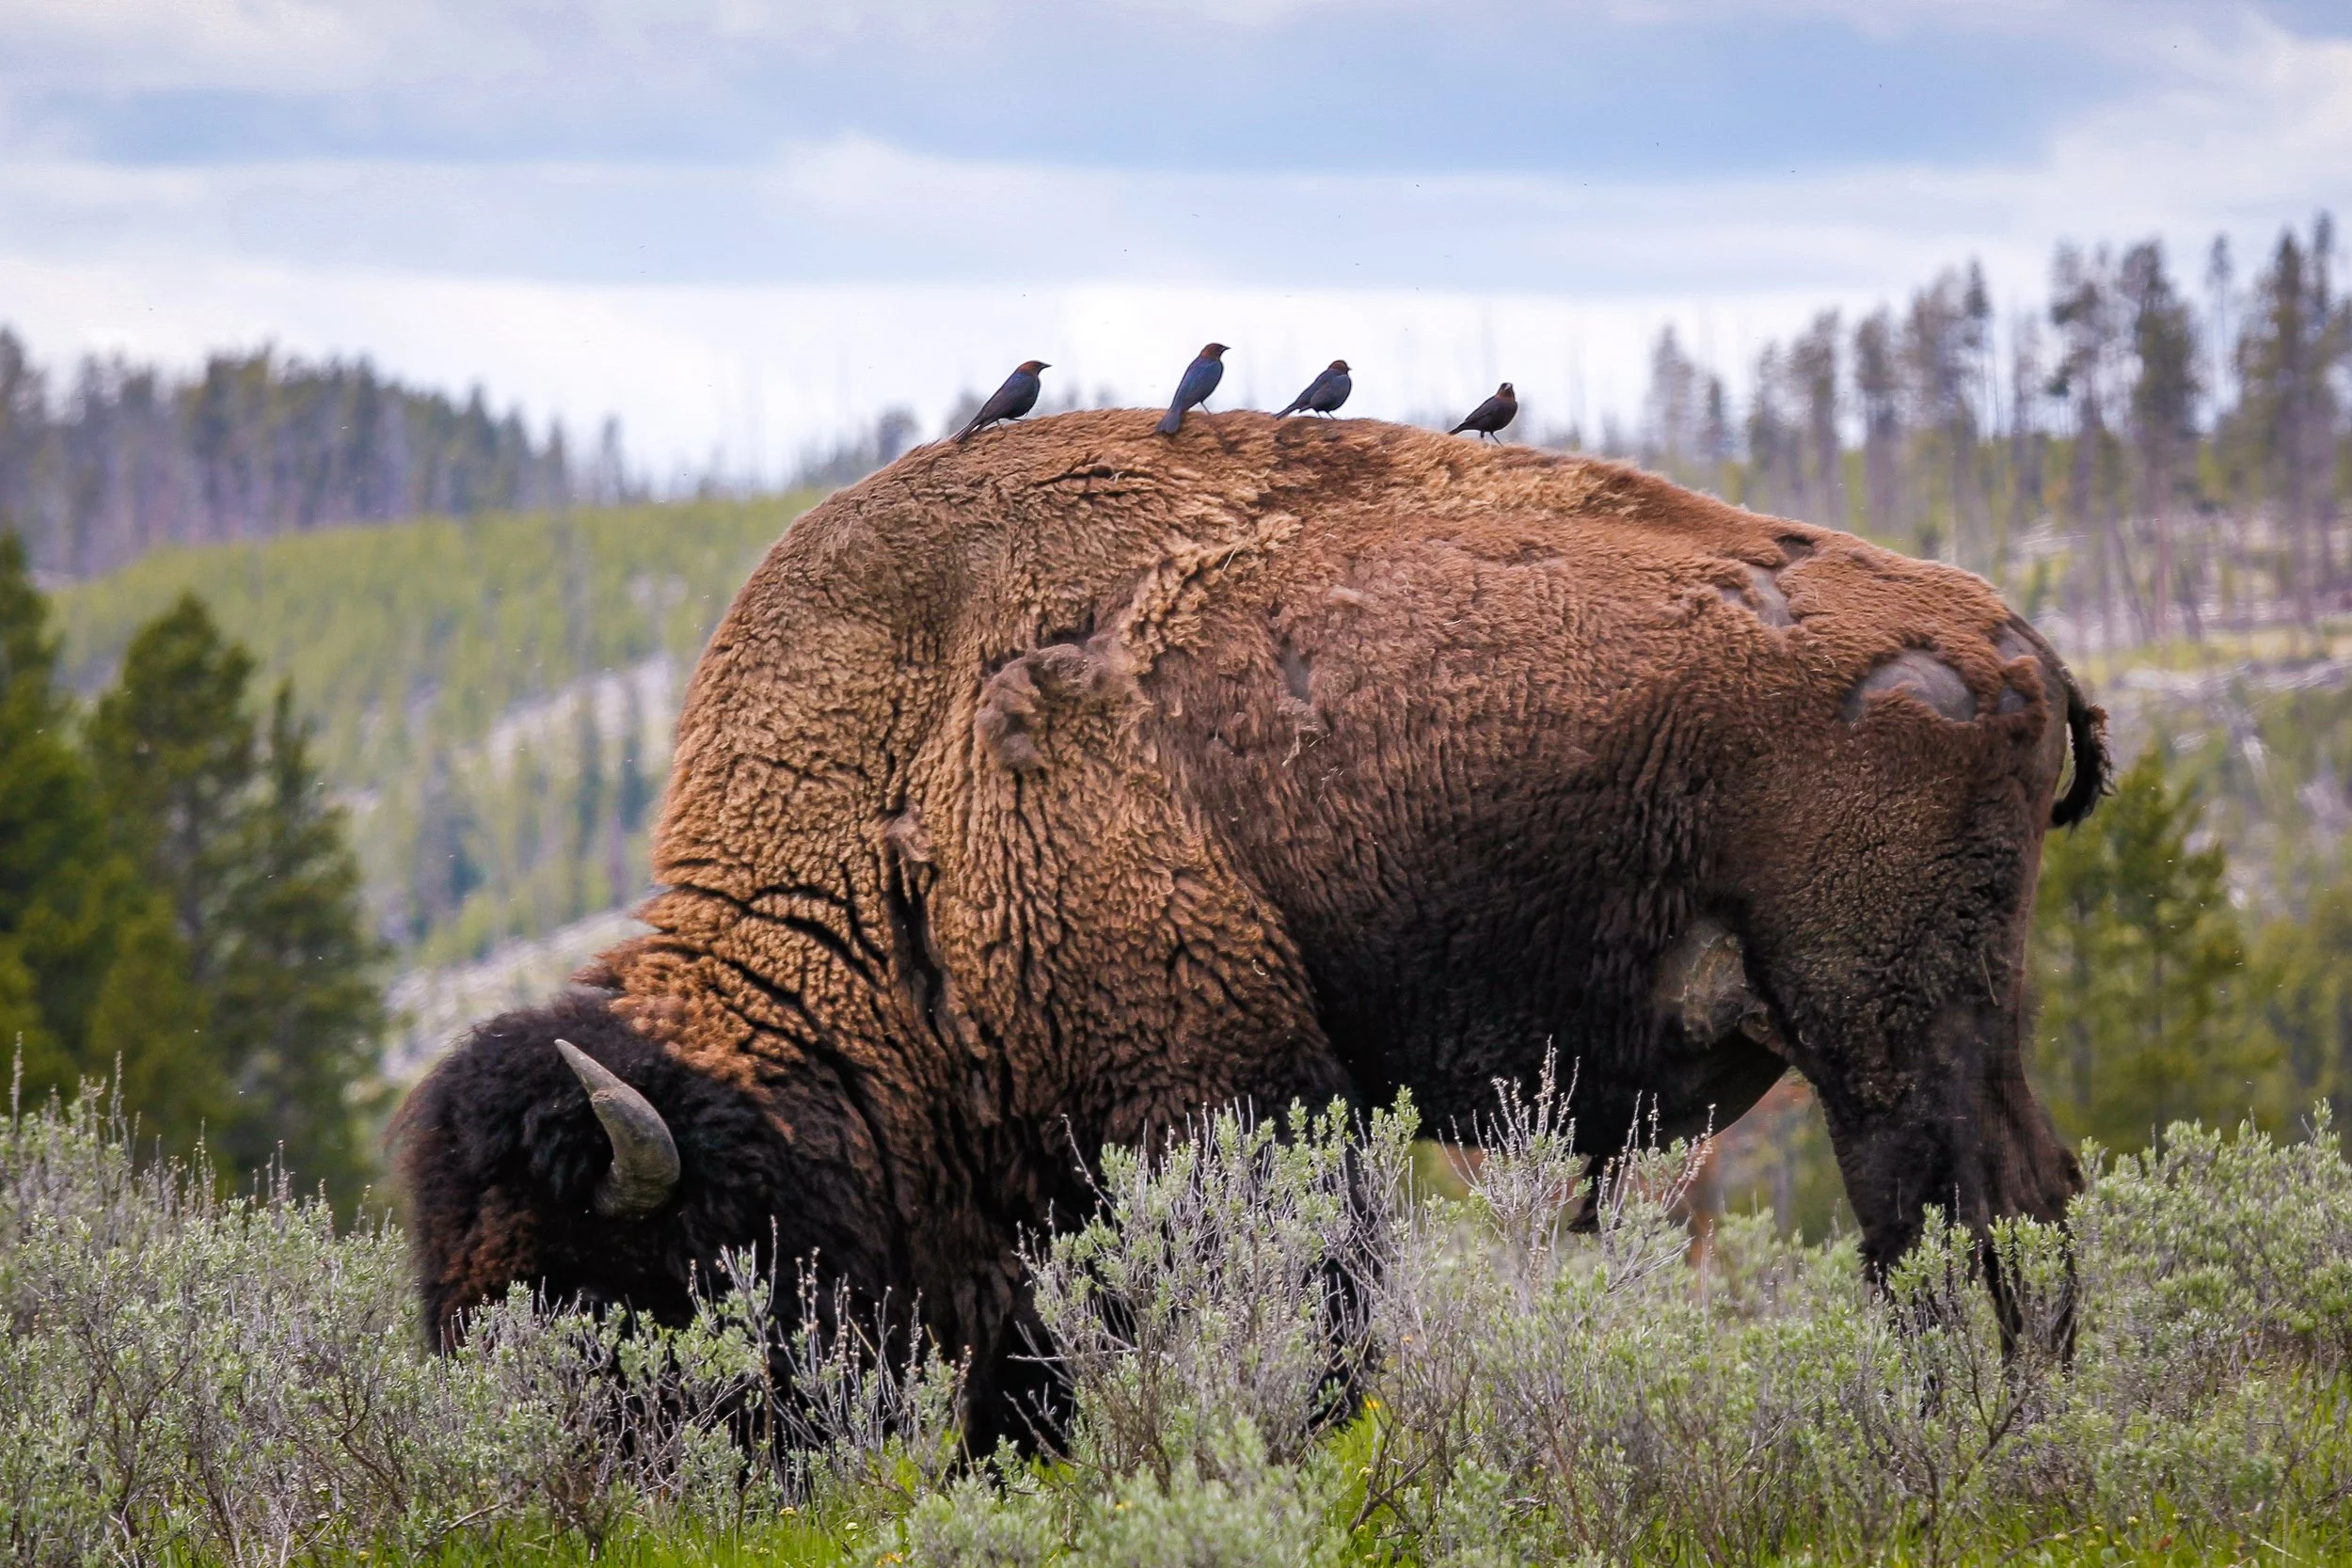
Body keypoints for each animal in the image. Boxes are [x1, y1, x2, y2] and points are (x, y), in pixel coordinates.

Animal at [397, 411, 2106, 1443]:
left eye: (629, 1288)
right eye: (455, 1315)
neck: (907, 788)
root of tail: (2005, 633)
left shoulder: (1223, 1103)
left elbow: (1299, 1319)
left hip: (1881, 1030)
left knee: (1962, 1221)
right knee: (2020, 1201)